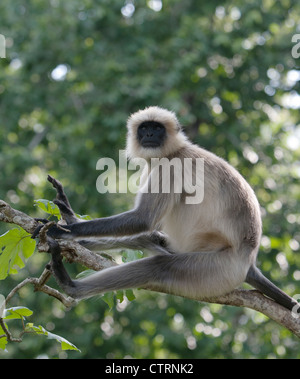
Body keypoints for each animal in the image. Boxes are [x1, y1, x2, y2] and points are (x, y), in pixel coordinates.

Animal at [39, 104, 298, 312]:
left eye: (157, 128)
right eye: (145, 128)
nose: (149, 134)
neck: (175, 151)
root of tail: (250, 261)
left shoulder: (169, 167)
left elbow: (142, 219)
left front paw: (65, 230)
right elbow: (144, 228)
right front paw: (69, 221)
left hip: (216, 269)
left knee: (157, 267)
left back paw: (70, 285)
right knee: (148, 239)